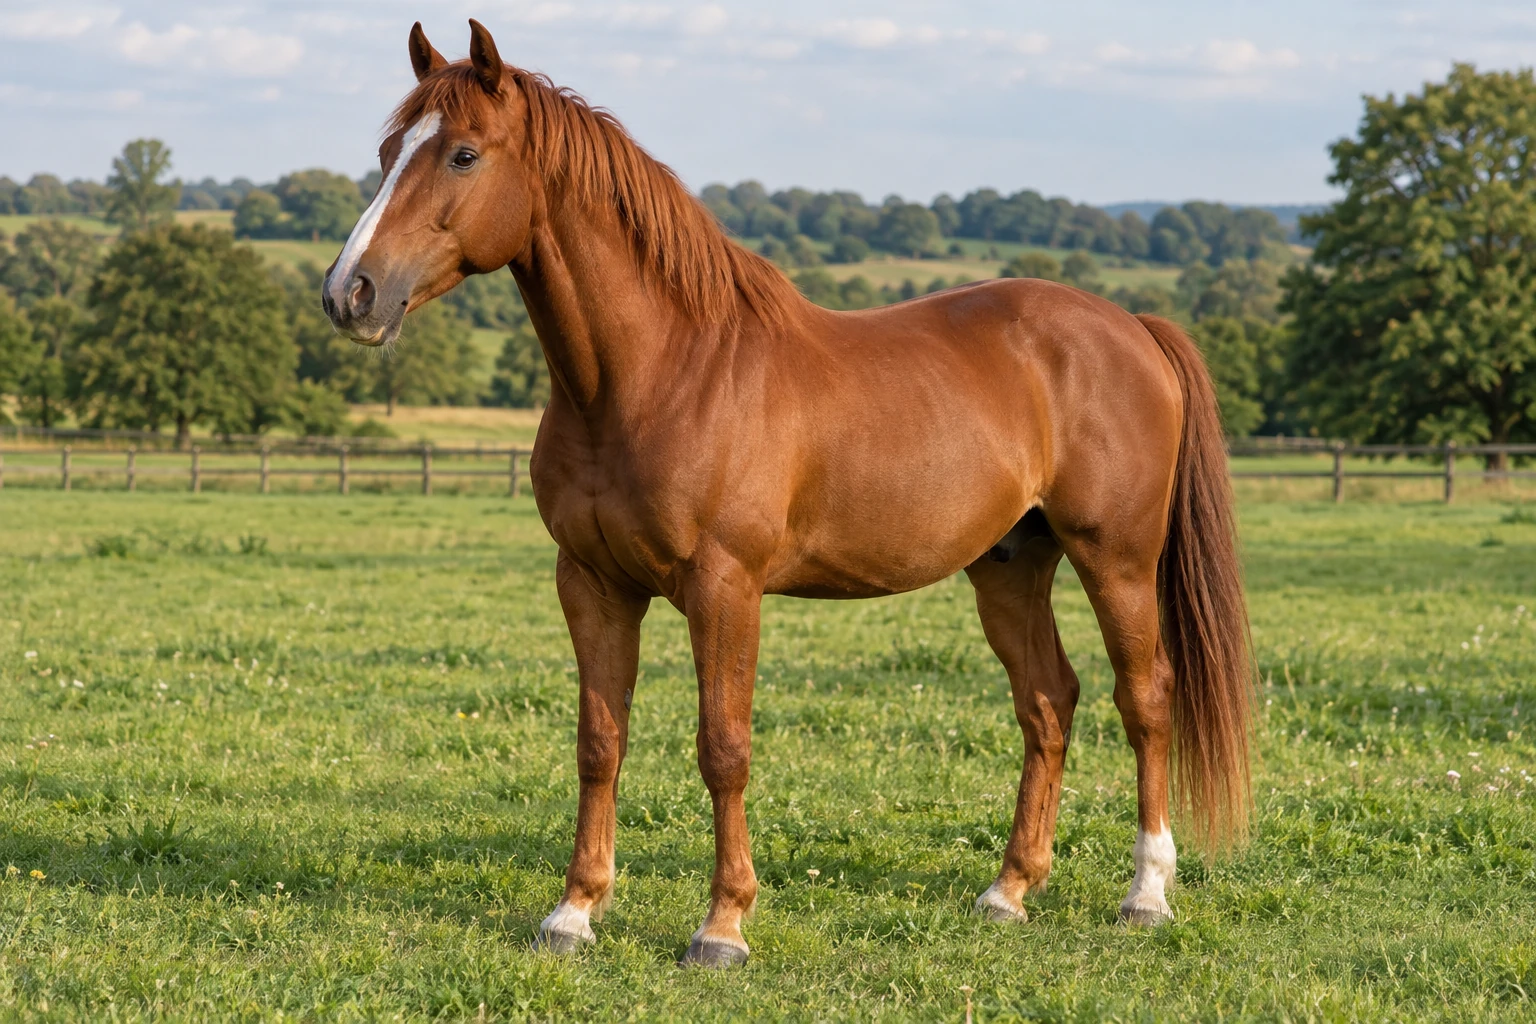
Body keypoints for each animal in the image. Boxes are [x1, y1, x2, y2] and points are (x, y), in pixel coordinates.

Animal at [322, 19, 1253, 967]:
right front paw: (575, 911)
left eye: (463, 154)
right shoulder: (592, 584)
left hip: (1117, 561)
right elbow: (599, 742)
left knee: (1146, 701)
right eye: (390, 151)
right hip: (1009, 566)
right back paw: (1009, 891)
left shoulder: (725, 588)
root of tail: (1131, 325)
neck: (661, 372)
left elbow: (723, 747)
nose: (350, 293)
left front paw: (723, 925)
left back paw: (1146, 894)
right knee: (1048, 702)